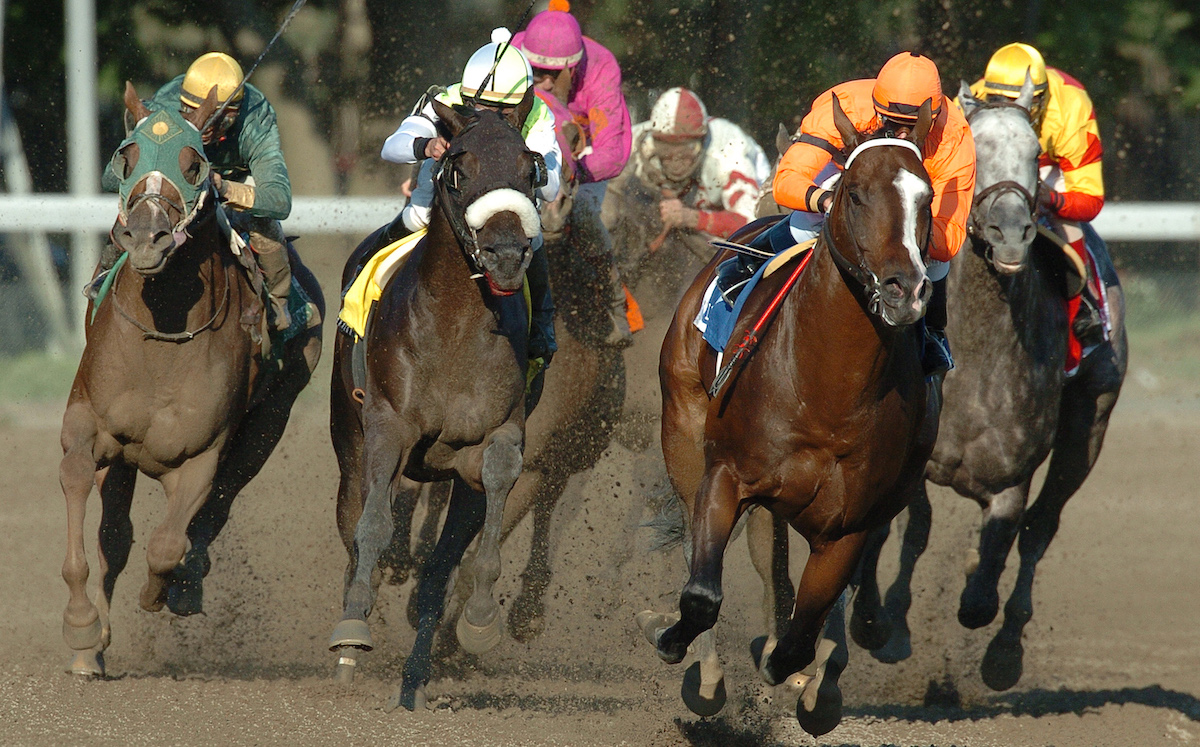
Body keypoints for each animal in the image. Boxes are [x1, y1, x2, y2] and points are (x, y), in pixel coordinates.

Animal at [59, 81, 324, 677]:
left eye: (194, 163)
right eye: (127, 155)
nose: (146, 238)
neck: (161, 340)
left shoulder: (202, 453)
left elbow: (169, 543)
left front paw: (166, 590)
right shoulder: (89, 425)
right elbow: (83, 492)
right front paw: (84, 631)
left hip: (267, 426)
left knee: (216, 511)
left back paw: (186, 585)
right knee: (117, 535)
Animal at [324, 90, 540, 710]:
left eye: (531, 169)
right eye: (459, 169)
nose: (506, 254)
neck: (456, 324)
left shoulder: (499, 430)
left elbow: (494, 486)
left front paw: (481, 618)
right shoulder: (388, 424)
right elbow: (373, 525)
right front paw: (353, 628)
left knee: (438, 572)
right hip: (348, 440)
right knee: (355, 523)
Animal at [643, 94, 940, 739]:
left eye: (927, 198)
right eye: (854, 193)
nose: (904, 290)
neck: (828, 390)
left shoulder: (850, 524)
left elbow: (806, 629)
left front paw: (802, 676)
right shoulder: (727, 475)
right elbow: (702, 592)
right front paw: (676, 645)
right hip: (683, 434)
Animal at [854, 76, 1123, 691]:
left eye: (1035, 153)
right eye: (975, 150)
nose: (1010, 232)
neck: (978, 358)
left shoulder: (1013, 473)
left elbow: (998, 558)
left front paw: (985, 618)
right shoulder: (915, 455)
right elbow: (915, 527)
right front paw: (887, 625)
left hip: (1091, 421)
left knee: (1041, 527)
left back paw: (1005, 651)